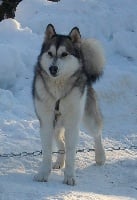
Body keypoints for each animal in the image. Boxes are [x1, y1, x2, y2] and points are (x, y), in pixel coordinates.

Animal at [32, 23, 106, 186]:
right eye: (50, 53)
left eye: (64, 54)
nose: (53, 68)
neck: (58, 93)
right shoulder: (46, 122)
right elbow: (47, 151)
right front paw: (43, 173)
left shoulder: (73, 123)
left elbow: (72, 152)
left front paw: (70, 176)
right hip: (56, 124)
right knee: (61, 142)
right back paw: (59, 161)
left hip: (87, 118)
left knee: (97, 133)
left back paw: (100, 156)